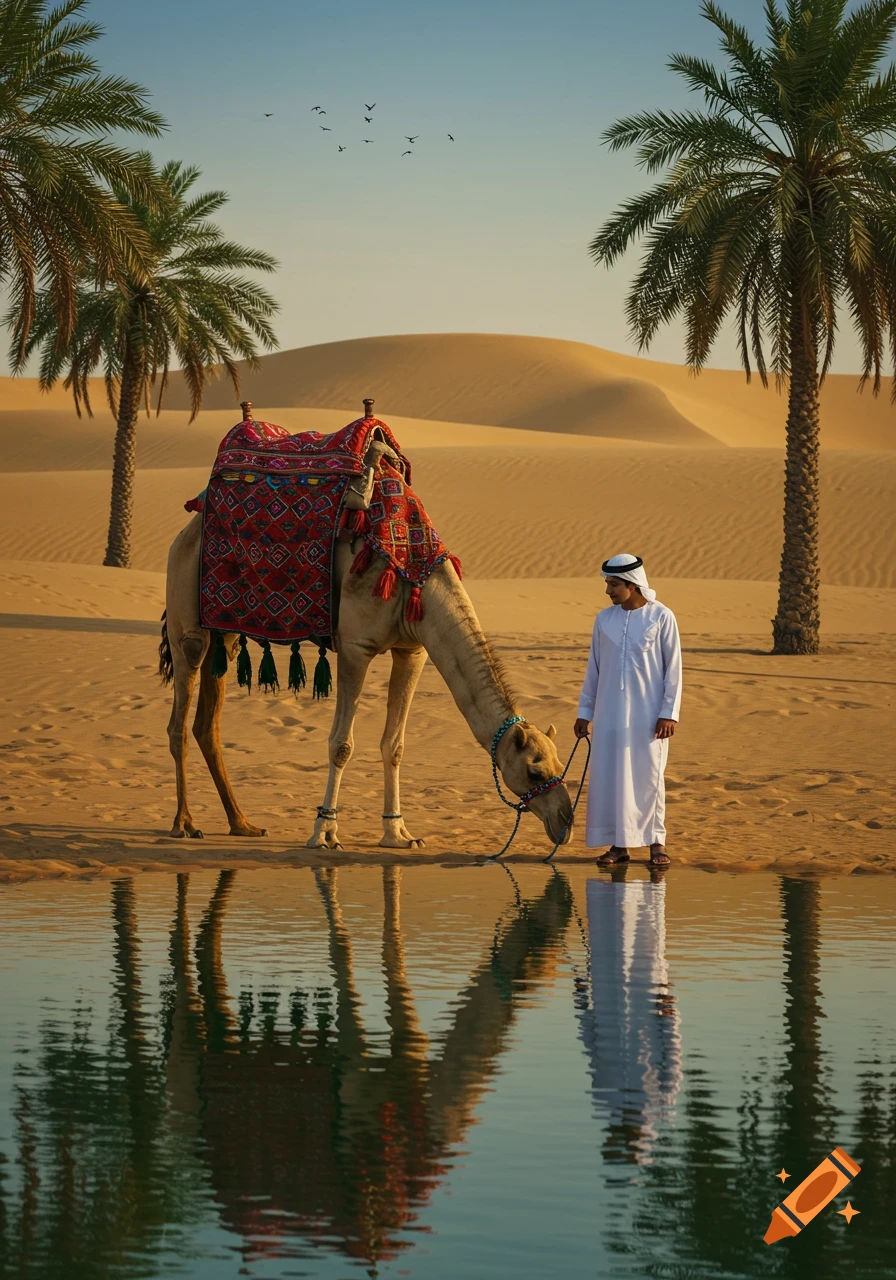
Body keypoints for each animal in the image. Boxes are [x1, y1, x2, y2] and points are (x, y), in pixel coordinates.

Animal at [162, 419, 573, 853]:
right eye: (533, 771)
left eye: (560, 763)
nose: (565, 820)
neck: (415, 569)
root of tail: (187, 529)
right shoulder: (356, 647)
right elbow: (341, 744)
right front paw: (324, 832)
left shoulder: (413, 649)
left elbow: (394, 746)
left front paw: (398, 834)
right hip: (187, 620)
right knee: (180, 718)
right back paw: (184, 823)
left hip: (224, 634)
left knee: (207, 724)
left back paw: (242, 823)